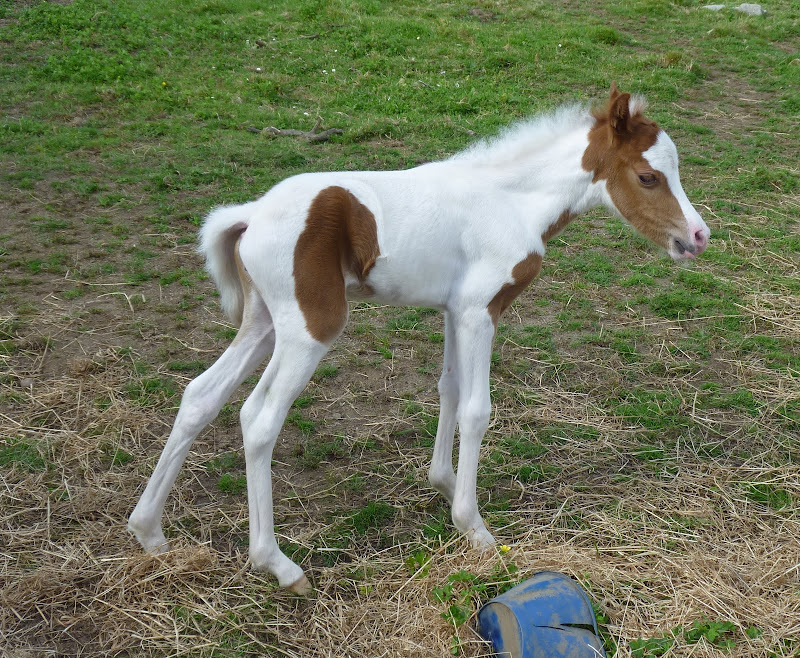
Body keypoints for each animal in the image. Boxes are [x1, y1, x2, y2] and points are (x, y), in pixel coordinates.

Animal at [128, 84, 708, 592]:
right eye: (648, 176)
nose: (698, 236)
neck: (509, 200)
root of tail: (249, 215)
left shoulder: (456, 309)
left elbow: (448, 390)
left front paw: (445, 484)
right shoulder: (480, 312)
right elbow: (476, 409)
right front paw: (475, 529)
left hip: (263, 324)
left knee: (200, 396)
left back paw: (149, 532)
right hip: (310, 328)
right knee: (258, 419)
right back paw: (278, 565)